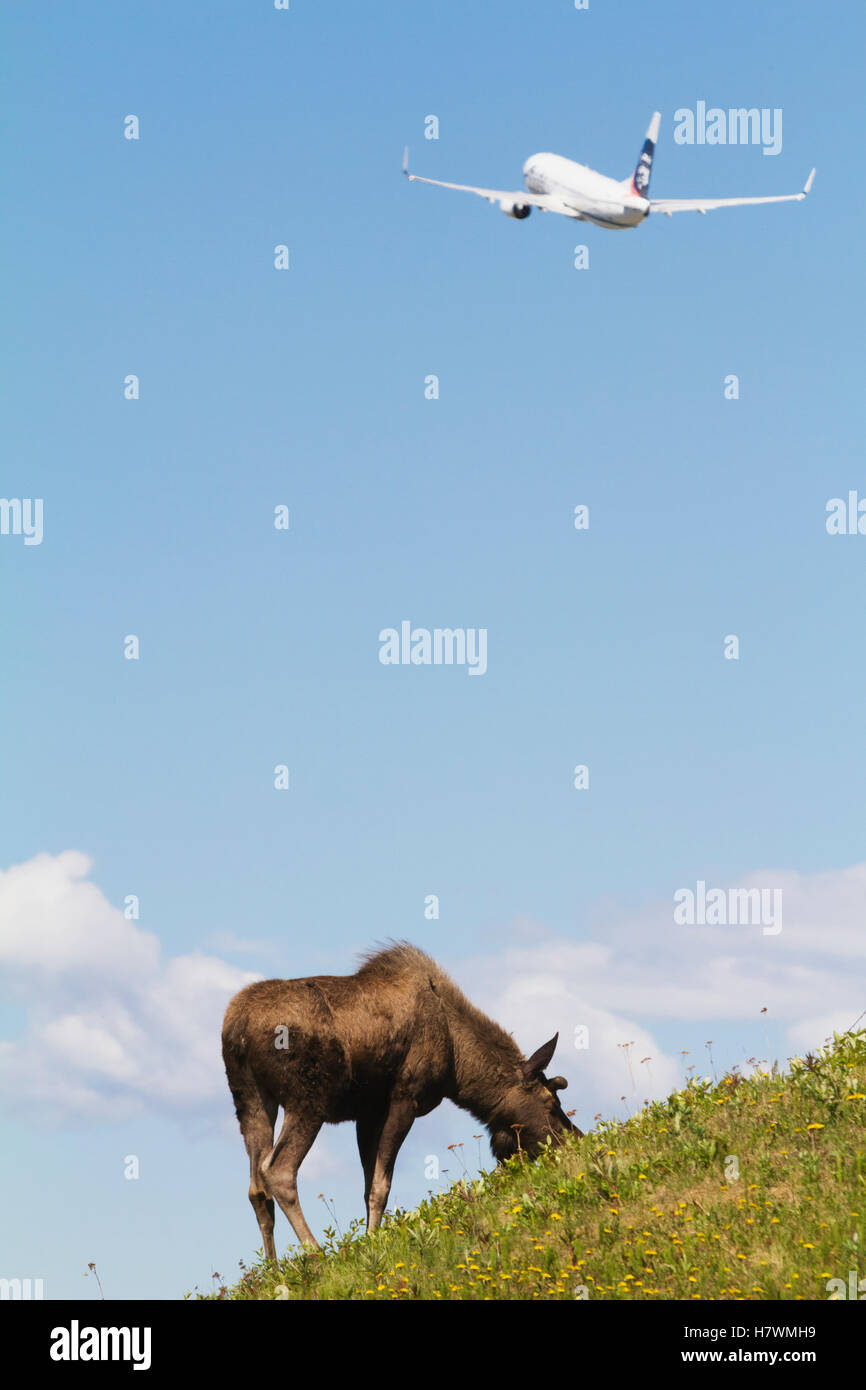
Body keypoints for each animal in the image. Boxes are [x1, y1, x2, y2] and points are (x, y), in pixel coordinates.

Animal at [222, 939, 583, 1256]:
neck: (458, 1065)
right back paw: (314, 1253)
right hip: (308, 1101)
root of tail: (237, 1027)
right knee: (278, 1170)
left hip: (250, 1100)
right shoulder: (405, 1098)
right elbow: (382, 1185)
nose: (574, 1138)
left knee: (256, 1187)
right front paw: (371, 1244)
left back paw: (274, 1270)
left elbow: (368, 1185)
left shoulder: (367, 1113)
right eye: (551, 1102)